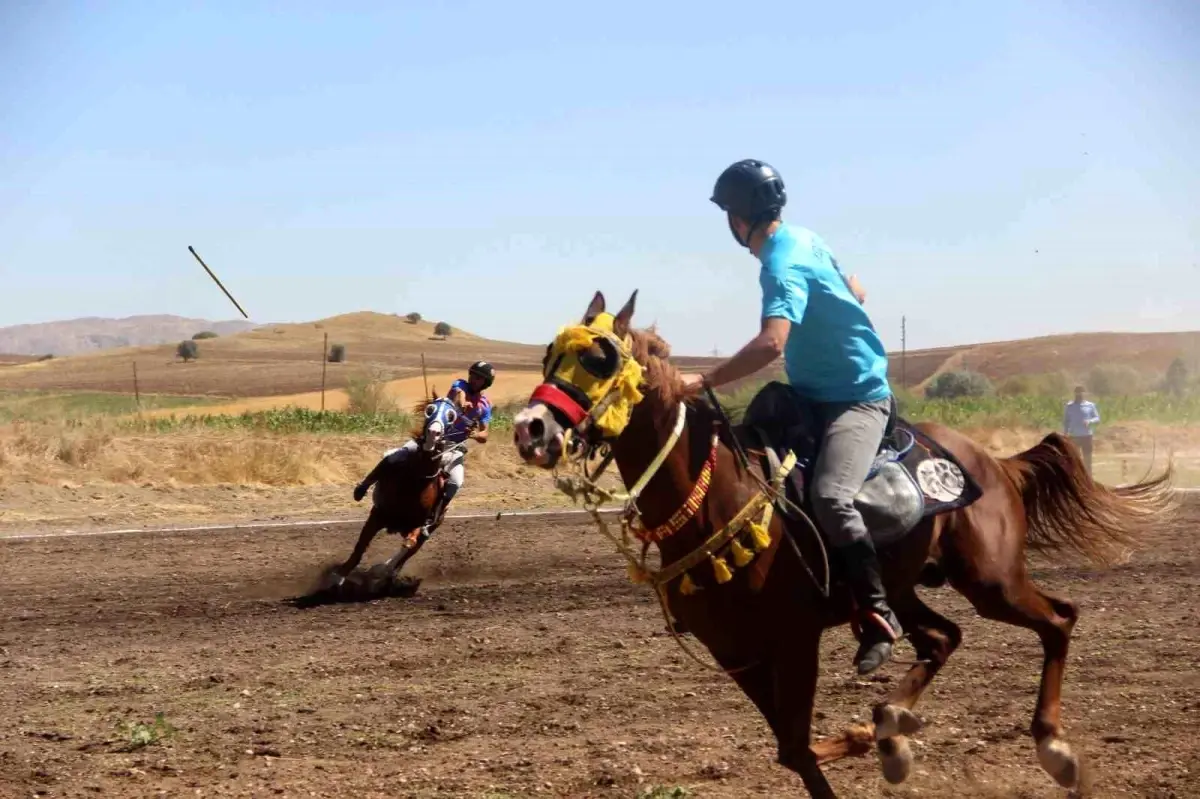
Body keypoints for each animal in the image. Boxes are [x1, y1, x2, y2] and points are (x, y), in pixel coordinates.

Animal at [511, 291, 1176, 796]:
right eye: (548, 356)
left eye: (600, 358)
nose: (530, 429)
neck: (714, 500)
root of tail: (994, 461)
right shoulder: (737, 654)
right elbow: (793, 751)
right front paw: (875, 737)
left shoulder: (793, 640)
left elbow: (798, 746)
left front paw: (867, 736)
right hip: (905, 588)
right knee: (943, 638)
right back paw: (894, 725)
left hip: (991, 580)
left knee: (1058, 619)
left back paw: (1052, 747)